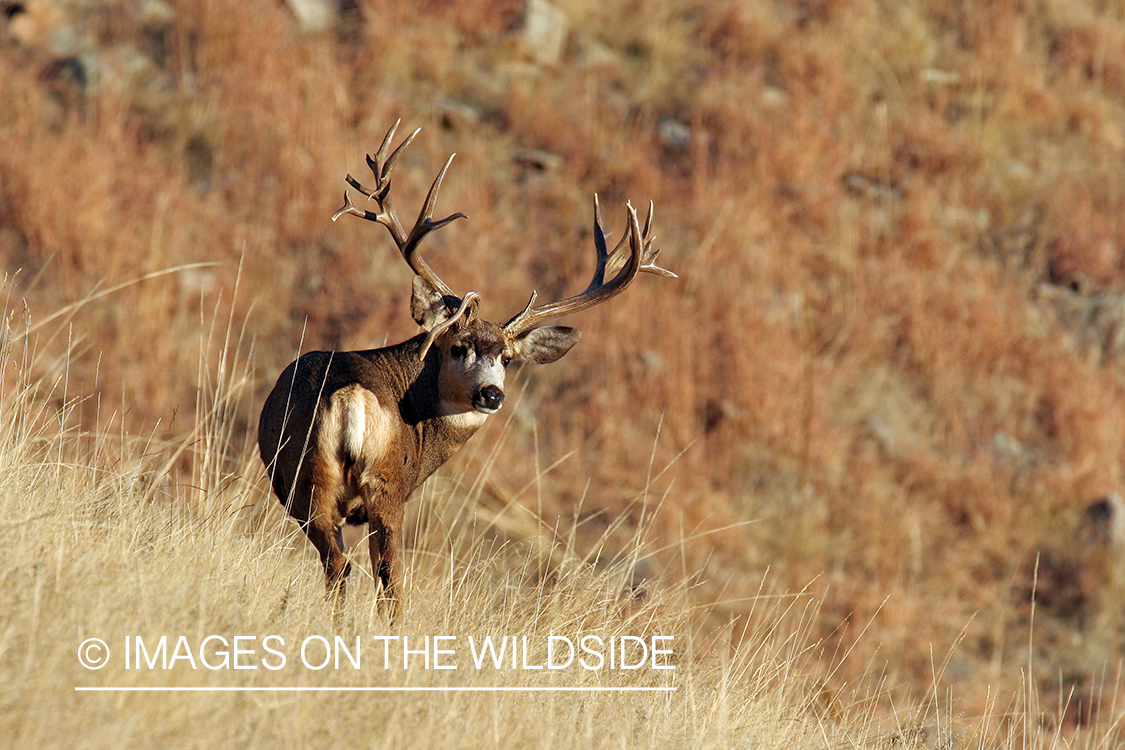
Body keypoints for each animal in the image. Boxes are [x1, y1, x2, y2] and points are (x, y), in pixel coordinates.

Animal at [257, 120, 675, 618]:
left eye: (509, 359)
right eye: (458, 347)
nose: (491, 394)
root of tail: (350, 396)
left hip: (320, 481)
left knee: (348, 567)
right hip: (359, 485)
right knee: (380, 577)